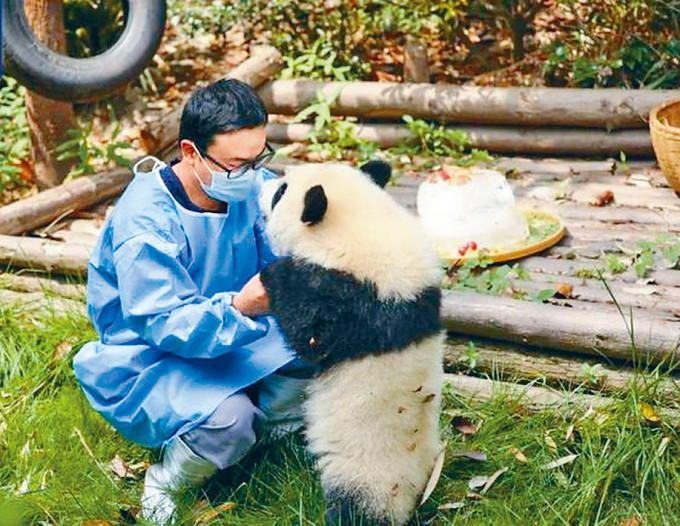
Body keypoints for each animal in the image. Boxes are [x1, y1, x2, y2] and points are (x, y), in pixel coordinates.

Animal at [258, 162, 444, 526]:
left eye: (280, 193)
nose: (260, 190)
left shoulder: (348, 294)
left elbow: (310, 334)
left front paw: (275, 273)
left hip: (366, 469)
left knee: (355, 501)